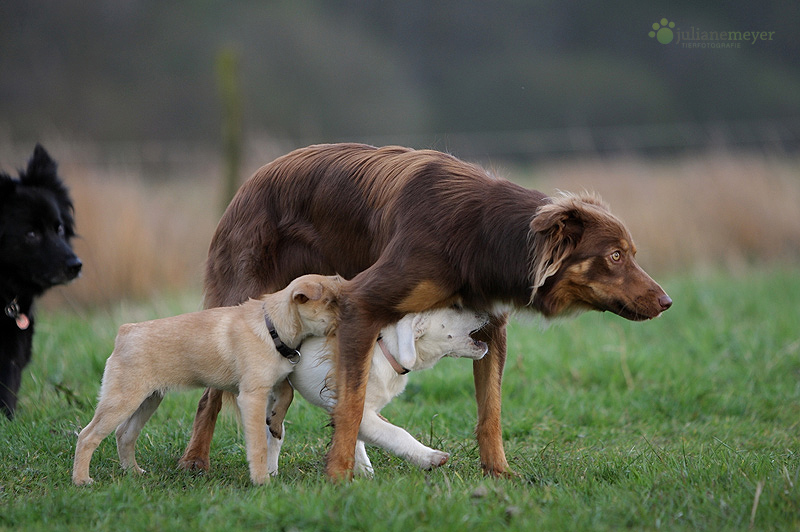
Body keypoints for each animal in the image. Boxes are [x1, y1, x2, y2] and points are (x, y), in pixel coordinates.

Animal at [71, 274, 340, 486]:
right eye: (331, 303)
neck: (271, 327)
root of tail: (126, 332)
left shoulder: (274, 381)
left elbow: (287, 395)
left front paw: (274, 421)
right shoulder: (252, 396)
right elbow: (258, 445)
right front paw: (261, 479)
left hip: (148, 400)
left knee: (124, 434)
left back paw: (133, 472)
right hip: (123, 400)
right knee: (87, 436)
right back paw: (82, 480)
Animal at [266, 306, 488, 476]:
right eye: (456, 308)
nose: (486, 311)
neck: (385, 349)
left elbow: (357, 439)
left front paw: (364, 473)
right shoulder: (357, 411)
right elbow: (396, 433)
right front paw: (430, 457)